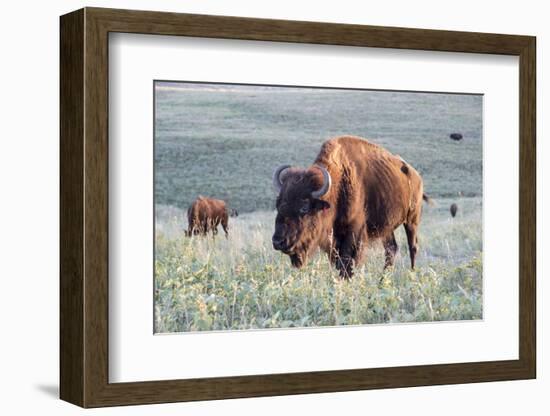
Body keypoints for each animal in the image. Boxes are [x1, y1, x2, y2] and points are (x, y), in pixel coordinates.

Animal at [274, 136, 434, 280]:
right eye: (278, 204)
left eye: (304, 208)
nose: (278, 241)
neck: (337, 186)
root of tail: (416, 176)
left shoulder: (354, 232)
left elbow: (347, 261)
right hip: (386, 228)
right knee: (391, 249)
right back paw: (382, 279)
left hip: (412, 220)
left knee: (413, 247)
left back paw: (412, 274)